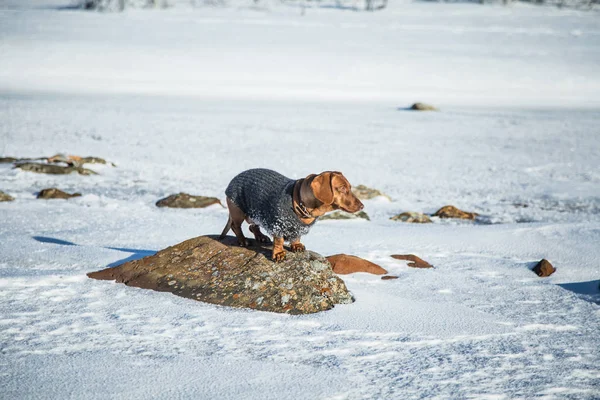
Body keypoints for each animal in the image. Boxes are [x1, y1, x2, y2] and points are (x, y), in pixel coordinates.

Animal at [219, 169, 360, 262]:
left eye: (349, 187)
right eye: (342, 188)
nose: (361, 206)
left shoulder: (298, 228)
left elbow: (296, 237)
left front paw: (296, 245)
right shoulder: (277, 225)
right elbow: (279, 241)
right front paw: (279, 253)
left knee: (253, 226)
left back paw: (261, 237)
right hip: (238, 211)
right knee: (236, 226)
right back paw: (243, 240)